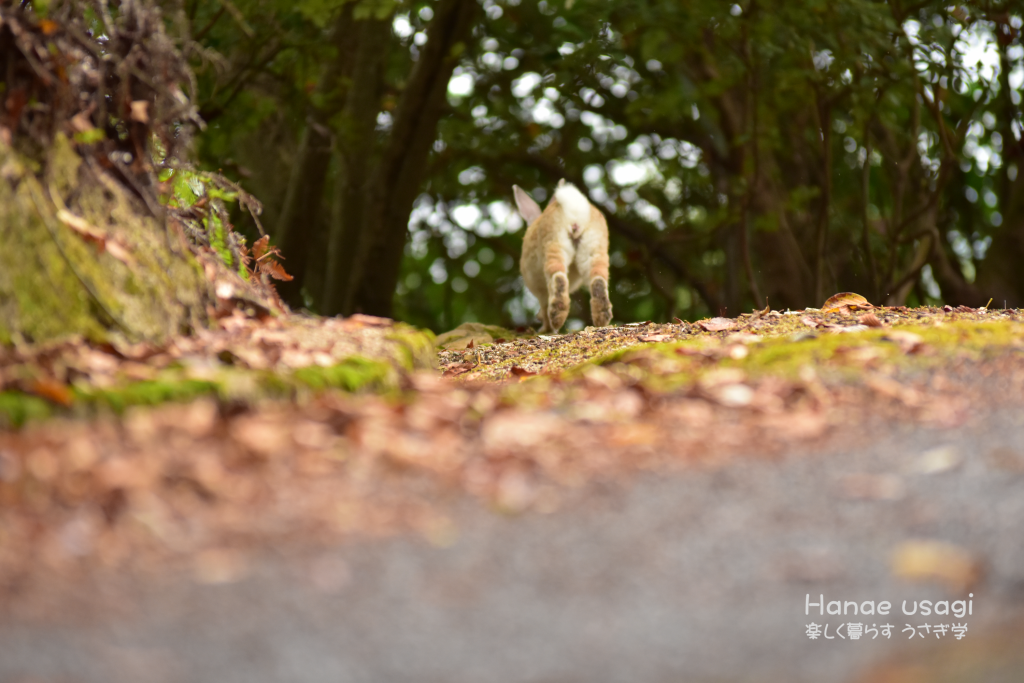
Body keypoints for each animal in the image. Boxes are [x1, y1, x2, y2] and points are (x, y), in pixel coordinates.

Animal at [516, 180, 610, 331]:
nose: (537, 318)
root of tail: (575, 212)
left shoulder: (541, 292)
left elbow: (544, 305)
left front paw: (545, 328)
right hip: (595, 249)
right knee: (598, 279)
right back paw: (602, 319)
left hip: (555, 244)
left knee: (558, 277)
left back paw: (555, 320)